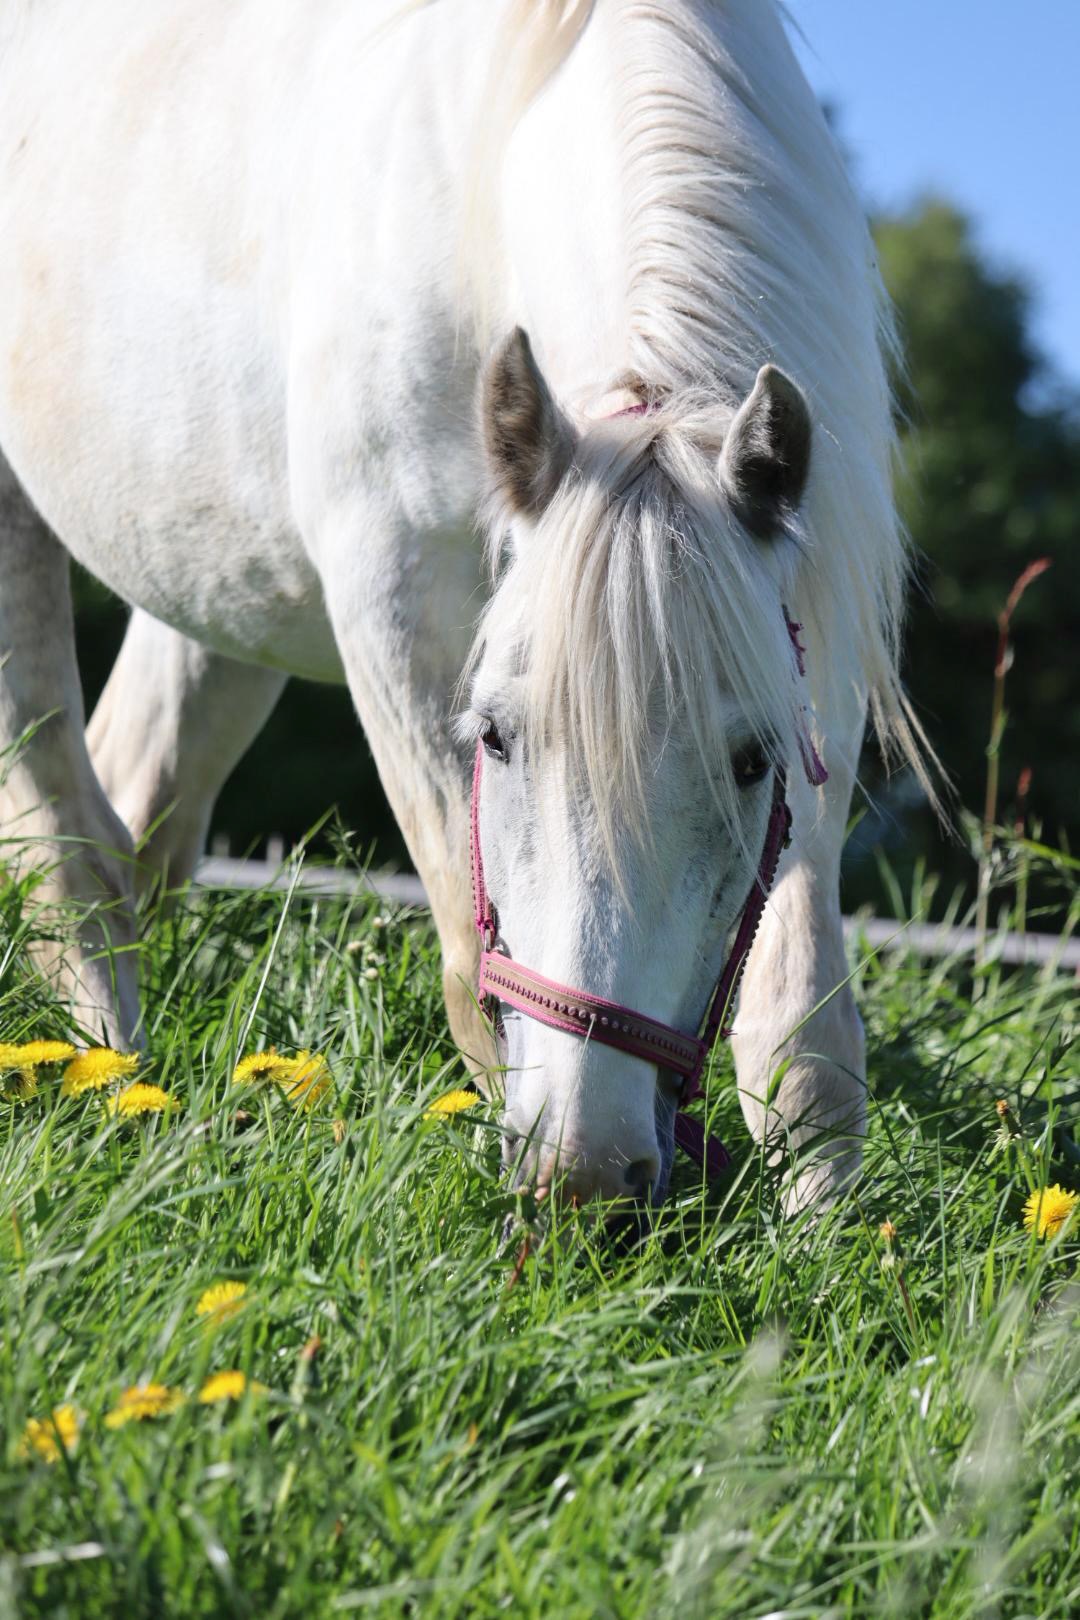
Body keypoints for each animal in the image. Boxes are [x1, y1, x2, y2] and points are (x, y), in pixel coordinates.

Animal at [0, 0, 918, 1207]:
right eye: (495, 737)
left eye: (749, 758)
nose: (588, 1173)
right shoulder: (397, 610)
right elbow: (466, 963)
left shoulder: (812, 644)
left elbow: (803, 1031)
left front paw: (833, 1235)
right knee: (66, 829)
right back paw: (106, 1073)